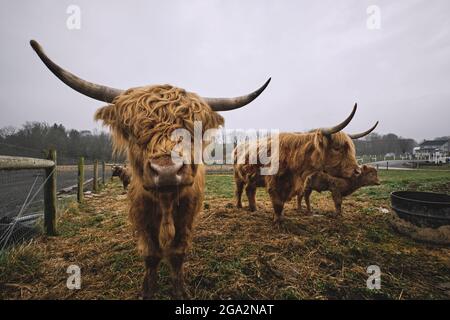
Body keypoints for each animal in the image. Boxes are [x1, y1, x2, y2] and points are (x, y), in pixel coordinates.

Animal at [30, 40, 270, 300]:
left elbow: (177, 253)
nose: (166, 171)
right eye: (133, 130)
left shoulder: (187, 215)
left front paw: (179, 291)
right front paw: (148, 290)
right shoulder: (141, 215)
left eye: (193, 131)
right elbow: (152, 254)